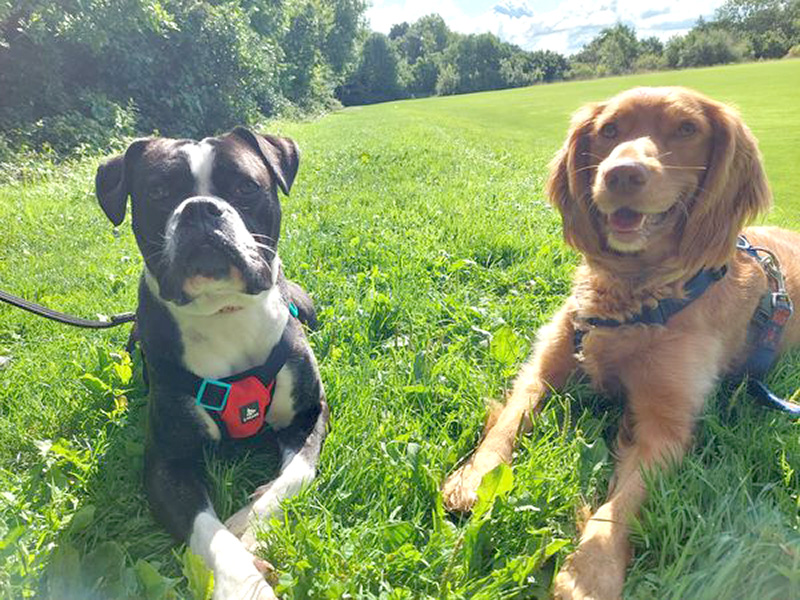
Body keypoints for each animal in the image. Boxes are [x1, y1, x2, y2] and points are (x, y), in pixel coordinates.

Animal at [95, 127, 326, 600]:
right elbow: (207, 531)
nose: (200, 208)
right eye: (158, 192)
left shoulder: (310, 415)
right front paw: (243, 584)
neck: (224, 312)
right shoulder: (166, 462)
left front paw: (249, 523)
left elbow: (296, 474)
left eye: (246, 187)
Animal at [440, 86, 796, 596]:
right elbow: (507, 423)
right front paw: (475, 477)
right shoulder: (544, 367)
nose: (621, 173)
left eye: (687, 129)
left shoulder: (666, 425)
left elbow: (623, 501)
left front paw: (592, 569)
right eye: (609, 130)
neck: (634, 293)